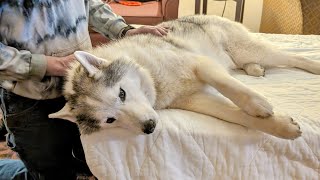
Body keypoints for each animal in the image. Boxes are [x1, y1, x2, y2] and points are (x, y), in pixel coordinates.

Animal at [49, 15, 320, 139]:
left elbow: (230, 87)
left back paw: (313, 66)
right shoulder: (195, 99)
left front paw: (259, 105)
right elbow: (236, 115)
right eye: (110, 120)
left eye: (122, 93)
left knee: (291, 58)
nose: (149, 127)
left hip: (250, 49)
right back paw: (254, 69)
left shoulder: (201, 64)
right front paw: (281, 126)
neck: (152, 75)